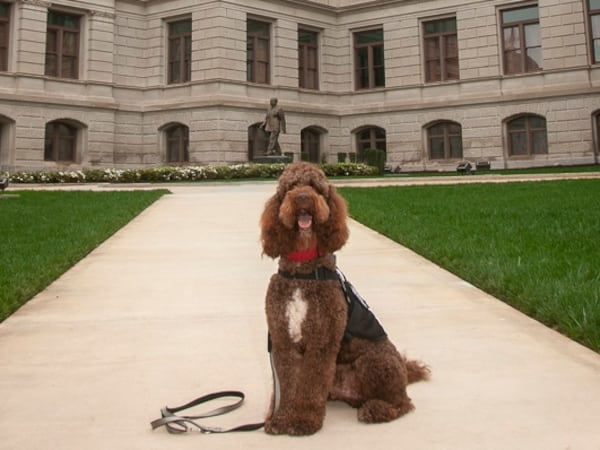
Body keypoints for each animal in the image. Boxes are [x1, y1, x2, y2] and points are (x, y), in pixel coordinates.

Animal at [260, 163, 428, 436]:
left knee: (404, 402)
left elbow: (310, 384)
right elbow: (286, 384)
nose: (303, 198)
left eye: (316, 186)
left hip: (375, 360)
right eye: (291, 187)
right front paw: (280, 418)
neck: (303, 271)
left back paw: (377, 409)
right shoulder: (283, 338)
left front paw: (303, 421)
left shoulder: (322, 341)